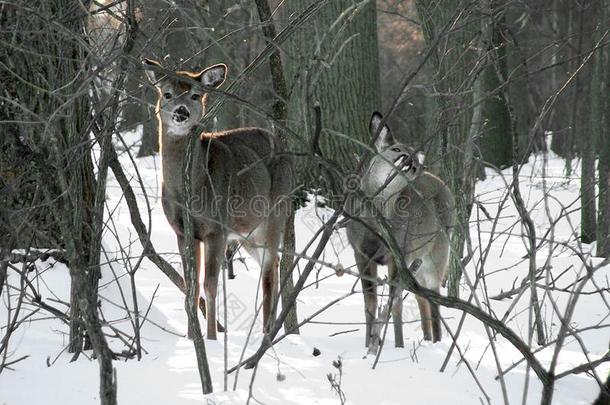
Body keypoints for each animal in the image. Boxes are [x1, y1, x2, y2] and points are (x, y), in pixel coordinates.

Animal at [144, 58, 294, 340]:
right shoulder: (183, 232)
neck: (192, 188)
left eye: (195, 95)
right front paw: (191, 337)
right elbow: (191, 287)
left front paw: (212, 337)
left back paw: (267, 332)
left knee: (270, 266)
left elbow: (211, 285)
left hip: (276, 209)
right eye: (167, 94)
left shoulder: (216, 228)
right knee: (273, 264)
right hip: (248, 232)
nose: (181, 112)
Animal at [344, 111, 454, 348]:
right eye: (395, 149)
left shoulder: (399, 252)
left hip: (437, 252)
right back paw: (427, 338)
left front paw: (397, 345)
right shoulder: (360, 252)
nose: (409, 161)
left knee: (434, 296)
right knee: (421, 297)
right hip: (417, 262)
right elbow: (370, 303)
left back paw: (437, 341)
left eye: (415, 158)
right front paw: (369, 344)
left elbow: (394, 304)